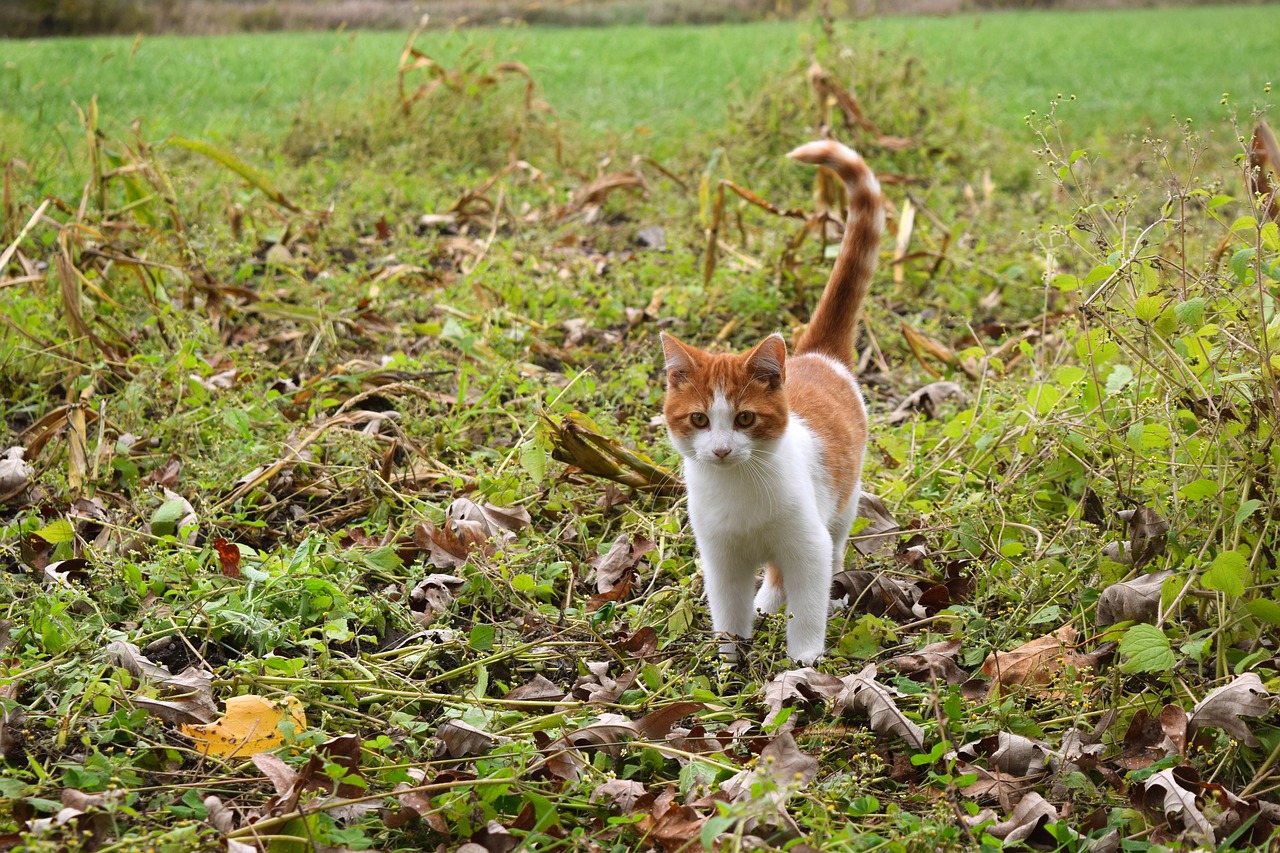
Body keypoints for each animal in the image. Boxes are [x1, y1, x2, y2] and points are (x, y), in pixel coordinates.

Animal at [660, 137, 880, 666]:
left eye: (744, 418)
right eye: (699, 419)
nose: (721, 450)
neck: (740, 490)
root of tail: (818, 355)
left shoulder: (807, 543)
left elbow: (809, 602)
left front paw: (803, 661)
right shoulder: (720, 556)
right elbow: (728, 607)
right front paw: (730, 657)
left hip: (842, 502)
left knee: (831, 548)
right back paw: (765, 602)